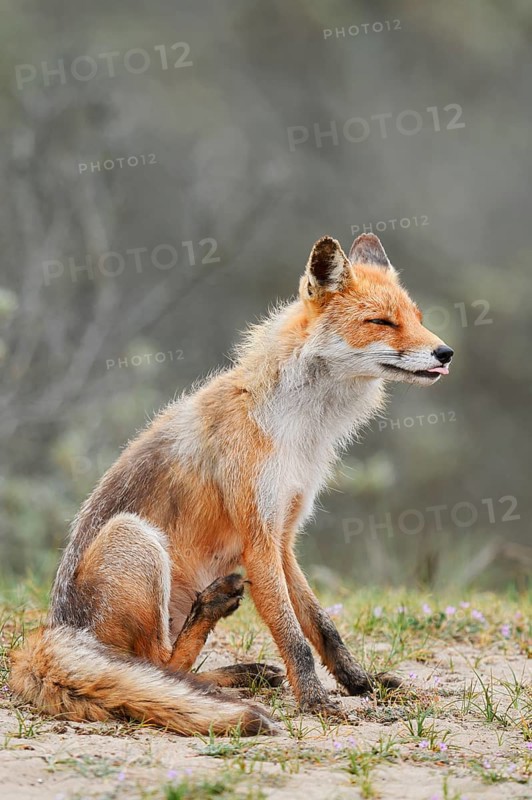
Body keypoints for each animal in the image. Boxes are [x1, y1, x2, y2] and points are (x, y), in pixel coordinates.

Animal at [10, 233, 453, 736]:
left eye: (418, 319)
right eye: (381, 322)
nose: (445, 353)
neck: (299, 432)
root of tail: (55, 629)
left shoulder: (283, 534)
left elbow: (322, 626)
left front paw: (361, 683)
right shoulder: (257, 538)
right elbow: (292, 636)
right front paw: (316, 702)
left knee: (169, 670)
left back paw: (238, 671)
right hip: (134, 537)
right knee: (155, 661)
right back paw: (214, 621)